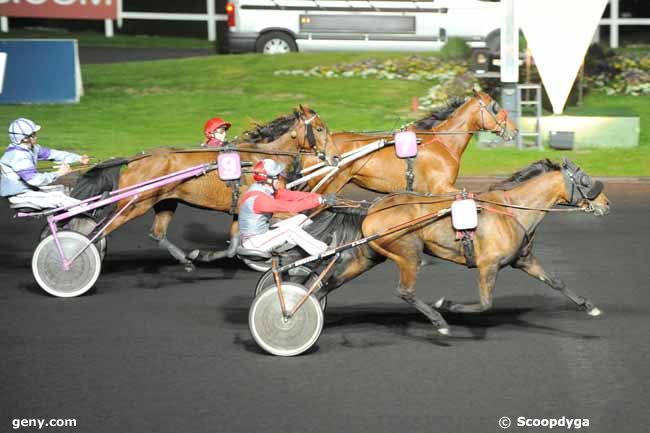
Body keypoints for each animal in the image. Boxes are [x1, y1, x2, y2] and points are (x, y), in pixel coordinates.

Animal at [101, 106, 336, 268]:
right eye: (319, 128)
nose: (334, 156)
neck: (262, 157)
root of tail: (135, 159)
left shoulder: (239, 210)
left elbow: (233, 246)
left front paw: (203, 255)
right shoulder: (265, 204)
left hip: (166, 202)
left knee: (157, 233)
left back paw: (185, 259)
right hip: (134, 205)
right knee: (103, 229)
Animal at [294, 158, 608, 334]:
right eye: (585, 179)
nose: (606, 203)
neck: (511, 210)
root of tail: (372, 207)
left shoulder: (524, 260)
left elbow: (555, 281)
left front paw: (589, 306)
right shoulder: (488, 265)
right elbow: (485, 303)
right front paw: (449, 305)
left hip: (368, 255)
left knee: (327, 284)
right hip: (408, 251)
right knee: (405, 291)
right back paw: (439, 321)